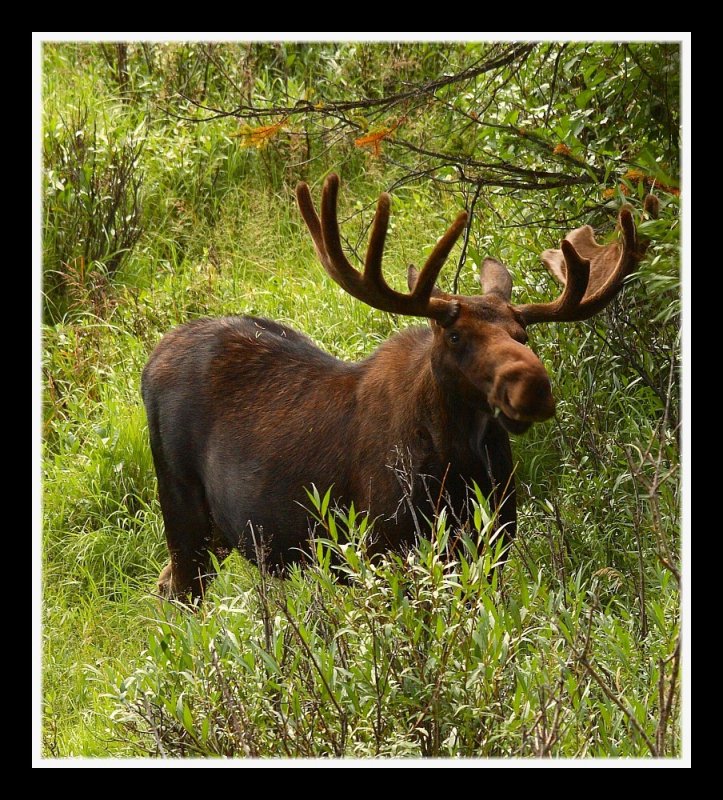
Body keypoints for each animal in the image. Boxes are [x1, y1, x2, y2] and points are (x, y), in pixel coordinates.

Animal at [141, 177, 656, 600]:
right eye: (454, 335)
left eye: (522, 335)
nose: (533, 387)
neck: (459, 467)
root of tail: (151, 359)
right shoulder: (384, 549)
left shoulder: (491, 548)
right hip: (181, 507)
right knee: (181, 592)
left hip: (218, 534)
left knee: (164, 583)